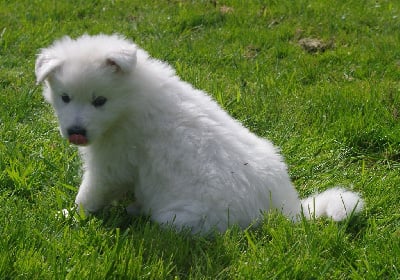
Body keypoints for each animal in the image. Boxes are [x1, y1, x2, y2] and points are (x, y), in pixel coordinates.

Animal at [36, 34, 364, 233]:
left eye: (99, 101)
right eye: (65, 98)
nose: (76, 132)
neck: (129, 102)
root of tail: (288, 209)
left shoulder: (111, 164)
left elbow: (89, 193)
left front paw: (70, 215)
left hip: (178, 218)